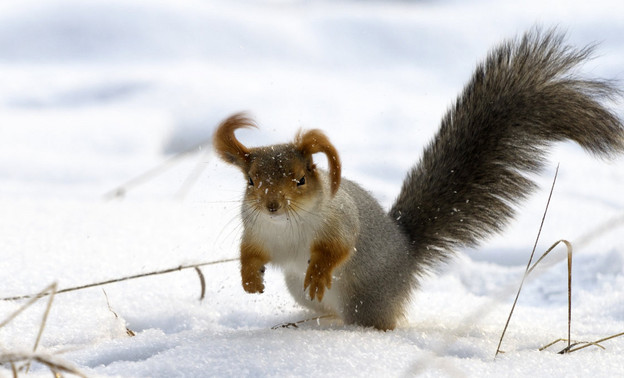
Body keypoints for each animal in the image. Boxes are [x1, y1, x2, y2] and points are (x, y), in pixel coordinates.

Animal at [211, 30, 624, 330]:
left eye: (300, 179)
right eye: (251, 182)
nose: (272, 205)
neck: (287, 226)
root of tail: (407, 254)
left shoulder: (339, 220)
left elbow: (339, 249)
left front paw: (318, 271)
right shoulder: (257, 230)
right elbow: (250, 253)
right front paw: (250, 280)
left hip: (367, 298)